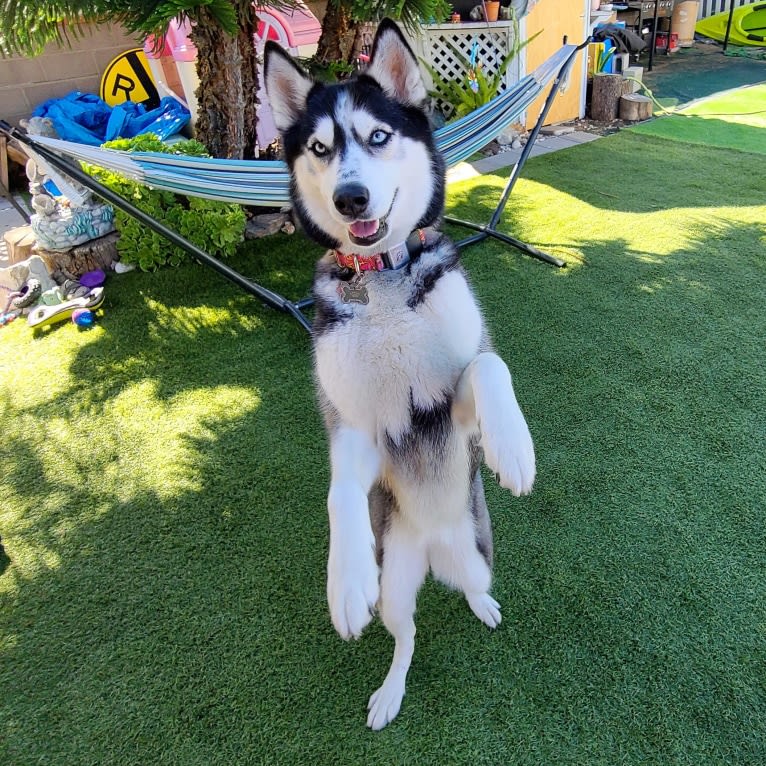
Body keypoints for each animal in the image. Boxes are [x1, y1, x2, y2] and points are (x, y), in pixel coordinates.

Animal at [268, 16, 536, 728]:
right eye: (319, 147)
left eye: (378, 136)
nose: (350, 196)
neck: (382, 282)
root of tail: (439, 551)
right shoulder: (358, 425)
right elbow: (338, 493)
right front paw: (345, 580)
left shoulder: (452, 399)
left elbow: (490, 362)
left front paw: (513, 448)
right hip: (398, 586)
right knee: (406, 636)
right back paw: (390, 690)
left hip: (480, 554)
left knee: (472, 586)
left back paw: (482, 604)